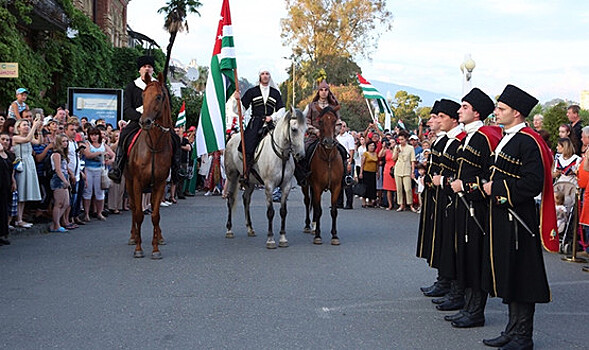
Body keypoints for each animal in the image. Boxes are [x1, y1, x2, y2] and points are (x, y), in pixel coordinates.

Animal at [123, 71, 171, 258]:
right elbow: (138, 214)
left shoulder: (160, 183)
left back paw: (160, 237)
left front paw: (155, 248)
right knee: (133, 208)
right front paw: (138, 247)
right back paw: (132, 236)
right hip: (129, 182)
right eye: (143, 96)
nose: (145, 122)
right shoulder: (137, 182)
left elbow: (155, 216)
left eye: (159, 97)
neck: (154, 145)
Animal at [225, 109, 308, 249]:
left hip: (250, 182)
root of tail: (232, 138)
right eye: (294, 129)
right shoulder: (269, 186)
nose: (300, 155)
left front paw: (283, 238)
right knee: (230, 199)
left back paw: (250, 229)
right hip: (232, 176)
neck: (281, 155)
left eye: (306, 130)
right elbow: (270, 212)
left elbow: (283, 211)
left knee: (246, 199)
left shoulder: (286, 186)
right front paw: (270, 239)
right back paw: (229, 230)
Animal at [300, 105, 342, 245]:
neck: (328, 157)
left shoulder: (337, 187)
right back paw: (309, 226)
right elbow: (318, 210)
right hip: (305, 185)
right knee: (308, 201)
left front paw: (334, 236)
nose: (328, 141)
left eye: (334, 121)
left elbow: (333, 211)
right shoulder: (317, 186)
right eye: (321, 121)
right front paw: (318, 236)